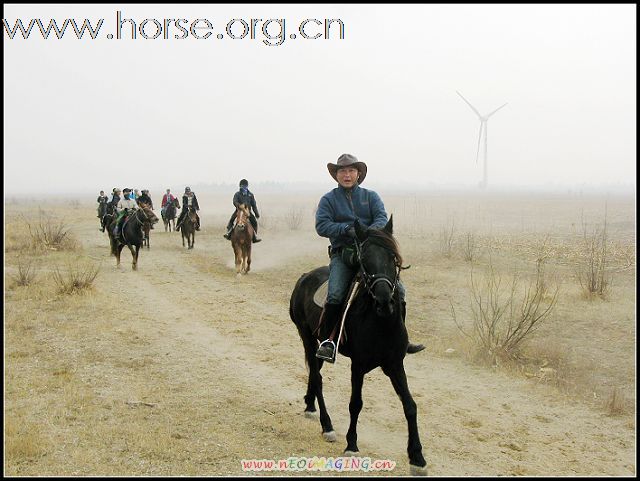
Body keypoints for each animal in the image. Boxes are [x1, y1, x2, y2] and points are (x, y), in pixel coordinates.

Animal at [292, 216, 428, 474]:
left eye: (392, 257)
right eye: (364, 259)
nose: (384, 300)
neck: (380, 322)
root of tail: (304, 277)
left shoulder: (395, 364)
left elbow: (410, 405)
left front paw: (417, 457)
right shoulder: (358, 365)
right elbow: (356, 403)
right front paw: (352, 444)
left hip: (316, 343)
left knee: (315, 371)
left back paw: (309, 405)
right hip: (306, 338)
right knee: (317, 377)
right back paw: (327, 425)